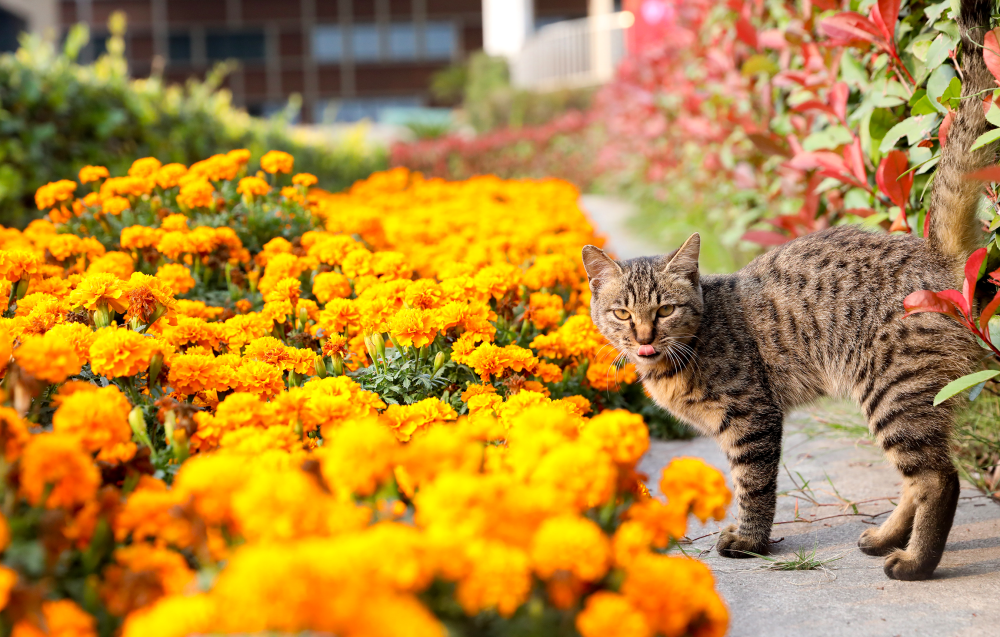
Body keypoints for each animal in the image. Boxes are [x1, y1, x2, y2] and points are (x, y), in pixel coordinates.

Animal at [584, 0, 996, 580]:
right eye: (622, 314)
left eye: (663, 310)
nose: (643, 336)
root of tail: (935, 257)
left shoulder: (751, 417)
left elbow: (753, 486)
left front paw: (749, 540)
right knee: (918, 478)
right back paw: (886, 538)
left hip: (894, 393)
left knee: (938, 478)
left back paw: (914, 562)